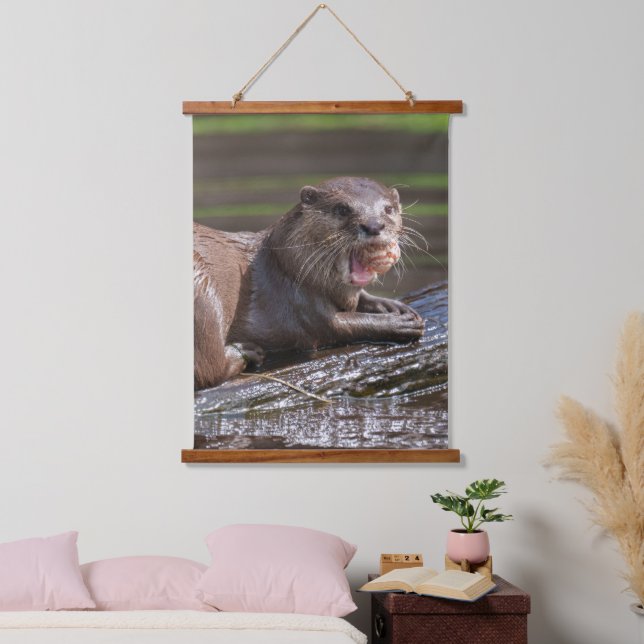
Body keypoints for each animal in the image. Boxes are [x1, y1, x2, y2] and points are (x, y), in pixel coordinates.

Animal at [194, 176, 424, 390]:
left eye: (388, 209)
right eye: (342, 209)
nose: (374, 226)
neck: (288, 266)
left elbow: (363, 299)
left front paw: (394, 306)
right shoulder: (300, 299)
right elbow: (338, 327)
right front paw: (398, 324)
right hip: (204, 291)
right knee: (210, 370)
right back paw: (245, 351)